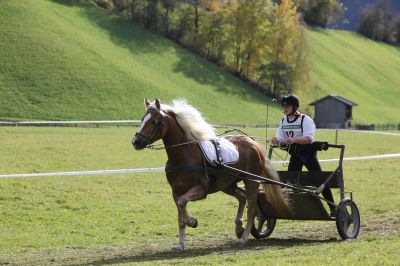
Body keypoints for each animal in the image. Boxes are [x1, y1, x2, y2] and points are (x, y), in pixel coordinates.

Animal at [132, 97, 290, 251]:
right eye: (142, 119)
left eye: (154, 121)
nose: (136, 141)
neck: (185, 155)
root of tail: (252, 142)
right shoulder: (175, 192)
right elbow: (180, 217)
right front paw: (180, 245)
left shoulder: (201, 190)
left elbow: (183, 205)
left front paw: (192, 221)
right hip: (227, 184)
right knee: (242, 197)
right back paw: (239, 228)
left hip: (251, 181)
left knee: (251, 209)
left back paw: (243, 238)